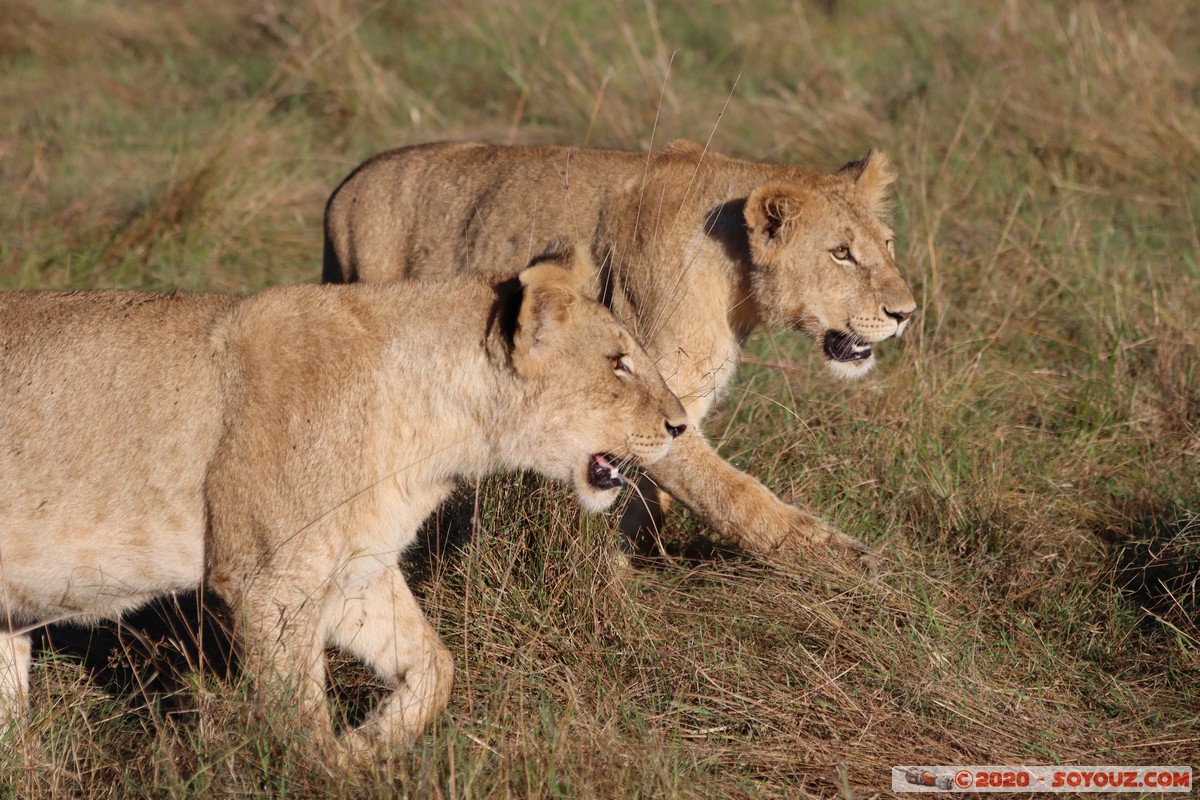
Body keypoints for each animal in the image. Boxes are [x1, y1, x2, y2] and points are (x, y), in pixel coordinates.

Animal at [0, 244, 687, 757]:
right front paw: (327, 769)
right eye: (619, 363)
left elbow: (435, 665)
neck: (437, 430)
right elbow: (300, 717)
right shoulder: (269, 580)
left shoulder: (357, 568)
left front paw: (368, 747)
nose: (681, 425)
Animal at [322, 140, 916, 569]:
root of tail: (344, 186)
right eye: (841, 254)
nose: (906, 312)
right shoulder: (656, 384)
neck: (737, 280)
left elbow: (650, 495)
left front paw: (628, 559)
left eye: (887, 245)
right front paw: (841, 559)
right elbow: (731, 492)